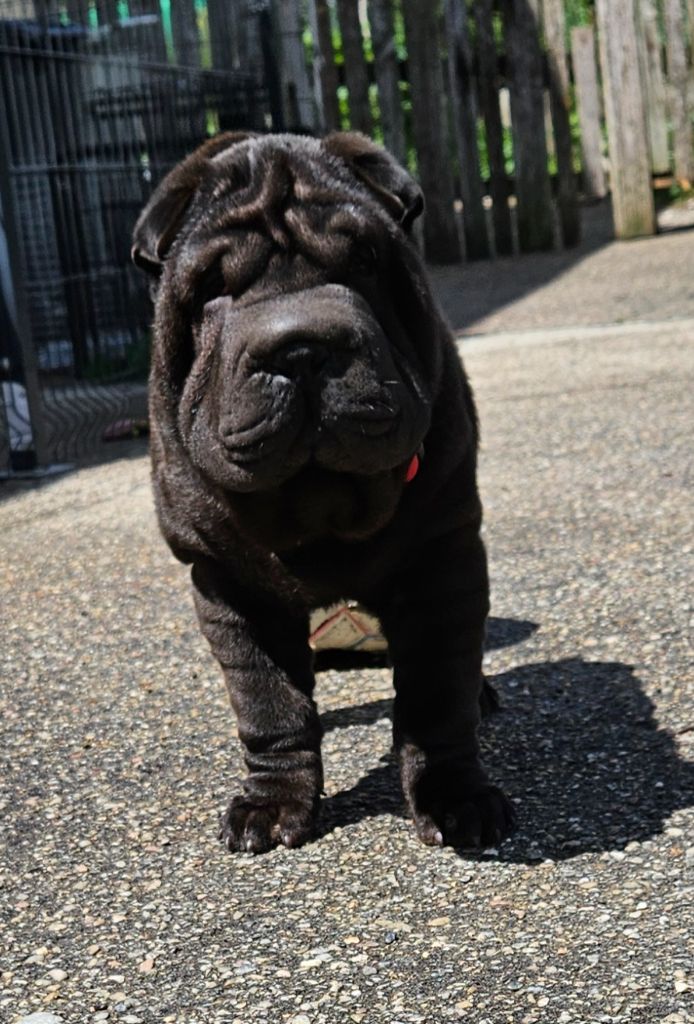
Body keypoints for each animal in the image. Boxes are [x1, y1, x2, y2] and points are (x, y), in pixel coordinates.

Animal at [133, 132, 515, 851]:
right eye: (212, 289)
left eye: (364, 262)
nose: (300, 347)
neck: (318, 509)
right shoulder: (227, 584)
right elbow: (268, 704)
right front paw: (272, 803)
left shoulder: (443, 557)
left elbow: (436, 697)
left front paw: (456, 798)